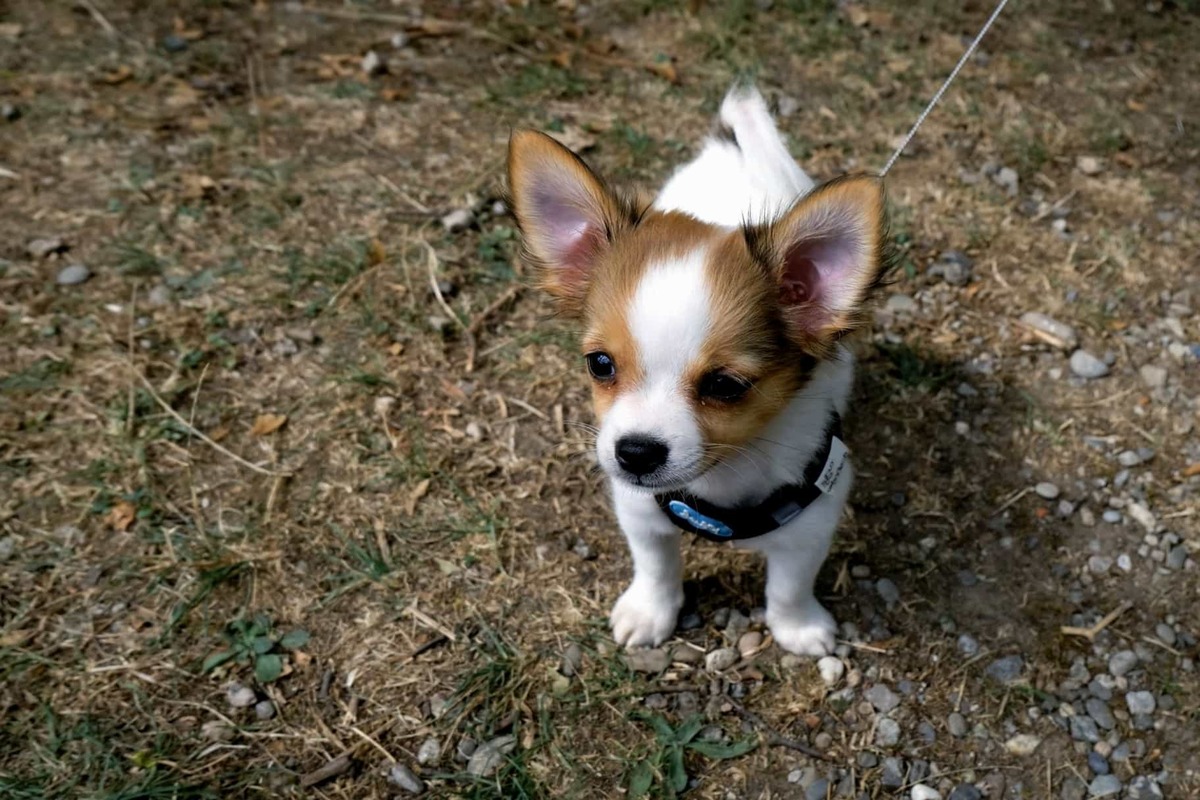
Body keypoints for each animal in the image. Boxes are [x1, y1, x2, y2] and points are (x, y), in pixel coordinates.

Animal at [506, 86, 892, 657]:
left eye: (724, 386)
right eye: (600, 364)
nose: (635, 453)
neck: (721, 480)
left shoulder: (813, 521)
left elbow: (789, 585)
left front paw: (797, 627)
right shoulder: (640, 511)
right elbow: (656, 565)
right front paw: (651, 612)